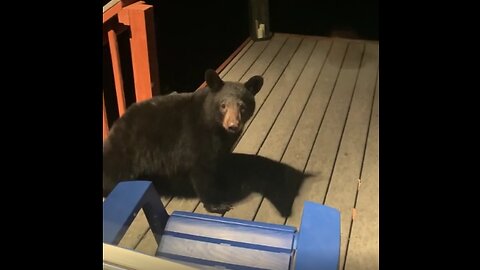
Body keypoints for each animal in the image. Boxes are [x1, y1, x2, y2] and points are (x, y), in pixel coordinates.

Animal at [103, 69, 264, 213]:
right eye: (223, 105)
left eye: (243, 107)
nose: (233, 126)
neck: (214, 125)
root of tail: (117, 123)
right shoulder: (195, 139)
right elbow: (201, 173)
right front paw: (216, 204)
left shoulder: (221, 146)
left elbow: (218, 162)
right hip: (128, 149)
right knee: (113, 171)